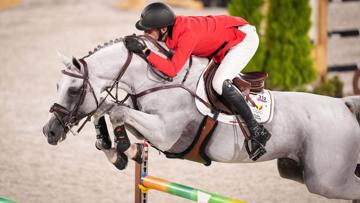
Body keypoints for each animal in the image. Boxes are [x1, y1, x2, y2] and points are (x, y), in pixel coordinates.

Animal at [43, 37, 360, 201]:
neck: (158, 80)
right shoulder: (148, 129)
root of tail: (343, 105)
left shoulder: (166, 134)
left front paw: (117, 147)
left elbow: (113, 108)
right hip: (296, 171)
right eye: (57, 86)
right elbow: (108, 109)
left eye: (73, 90)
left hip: (326, 181)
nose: (49, 132)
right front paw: (117, 151)